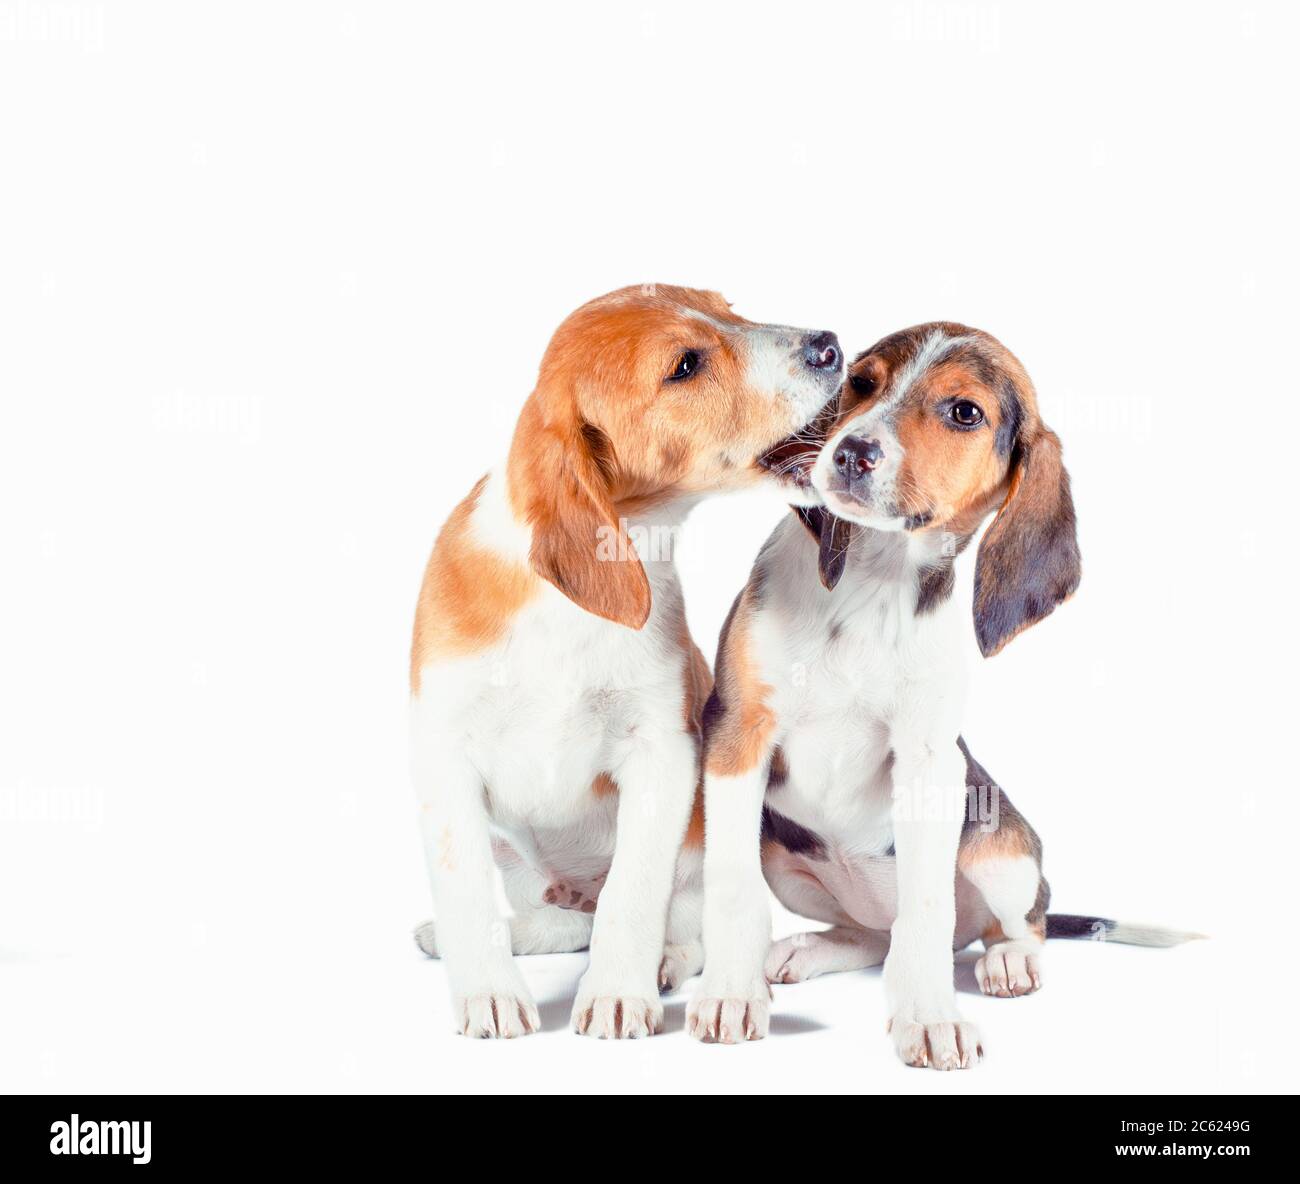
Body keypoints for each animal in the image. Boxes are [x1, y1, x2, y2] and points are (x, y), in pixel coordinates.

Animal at [410, 284, 847, 1039]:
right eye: (685, 366)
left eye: (728, 308)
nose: (830, 345)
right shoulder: (444, 759)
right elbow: (466, 892)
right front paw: (489, 993)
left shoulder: (662, 754)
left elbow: (632, 893)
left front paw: (618, 993)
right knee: (554, 920)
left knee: (673, 927)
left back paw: (664, 961)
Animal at [691, 322, 1196, 1065]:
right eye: (861, 382)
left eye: (964, 412)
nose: (851, 452)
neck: (872, 583)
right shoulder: (737, 736)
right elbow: (730, 885)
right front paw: (731, 993)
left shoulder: (930, 765)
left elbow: (926, 912)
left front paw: (928, 1017)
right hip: (784, 856)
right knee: (874, 934)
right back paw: (809, 949)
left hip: (1000, 851)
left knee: (1019, 922)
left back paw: (1009, 961)